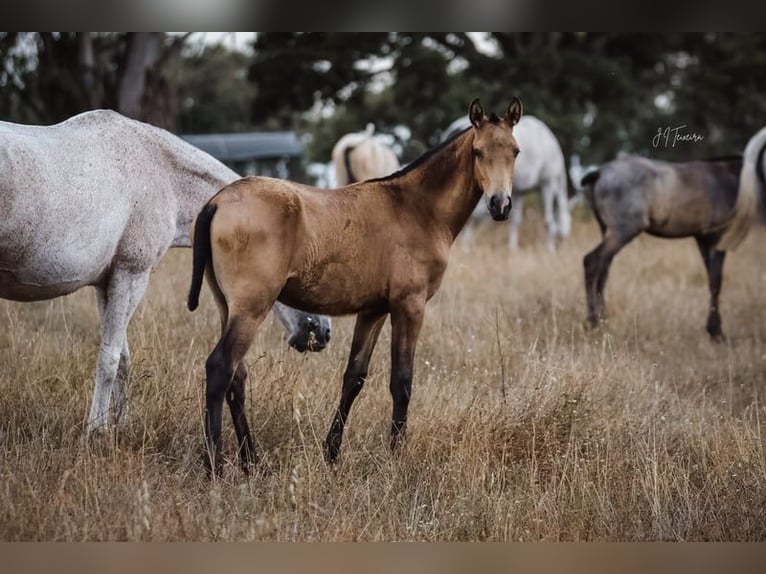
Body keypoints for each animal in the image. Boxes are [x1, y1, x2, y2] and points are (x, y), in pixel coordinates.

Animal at [0, 109, 332, 432]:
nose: (324, 332)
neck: (163, 174)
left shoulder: (107, 283)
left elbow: (123, 358)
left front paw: (119, 426)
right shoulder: (131, 275)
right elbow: (109, 359)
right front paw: (96, 431)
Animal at [189, 99, 524, 476]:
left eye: (515, 151)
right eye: (479, 152)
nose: (500, 205)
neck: (417, 208)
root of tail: (217, 202)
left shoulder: (373, 310)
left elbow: (354, 377)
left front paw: (331, 453)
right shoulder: (410, 305)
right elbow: (402, 381)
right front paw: (396, 456)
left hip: (227, 307)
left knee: (237, 376)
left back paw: (251, 461)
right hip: (251, 307)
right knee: (220, 368)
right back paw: (215, 465)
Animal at [444, 115, 568, 252]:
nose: (562, 245)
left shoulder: (518, 192)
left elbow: (516, 220)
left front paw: (512, 248)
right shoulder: (547, 184)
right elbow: (548, 220)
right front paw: (549, 249)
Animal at [584, 148, 764, 342]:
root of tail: (600, 172)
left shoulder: (702, 238)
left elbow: (711, 279)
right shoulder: (716, 237)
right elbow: (716, 281)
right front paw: (716, 332)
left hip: (607, 230)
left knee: (603, 269)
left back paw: (603, 321)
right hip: (623, 230)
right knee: (592, 261)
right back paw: (593, 323)